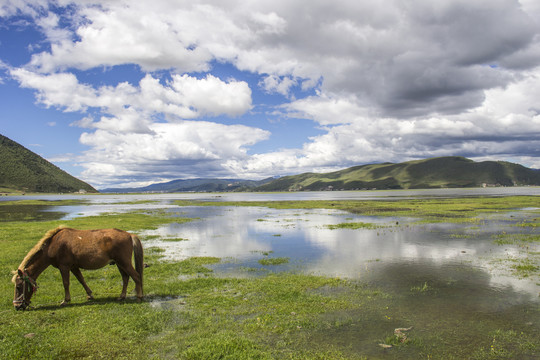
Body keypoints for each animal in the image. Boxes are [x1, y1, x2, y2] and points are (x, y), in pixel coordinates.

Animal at [12, 228, 143, 310]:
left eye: (18, 286)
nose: (17, 306)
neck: (53, 245)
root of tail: (129, 235)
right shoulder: (74, 267)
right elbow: (81, 280)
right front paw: (90, 295)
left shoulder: (64, 267)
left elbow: (66, 283)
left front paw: (65, 300)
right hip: (119, 264)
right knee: (126, 278)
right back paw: (122, 296)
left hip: (124, 263)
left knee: (136, 276)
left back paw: (139, 297)